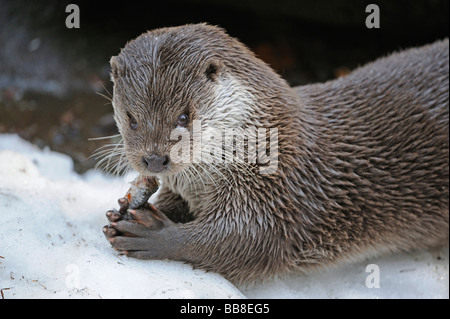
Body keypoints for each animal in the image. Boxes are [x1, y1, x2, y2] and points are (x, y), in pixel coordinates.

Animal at [100, 24, 448, 284]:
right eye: (131, 118)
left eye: (184, 117)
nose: (154, 160)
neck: (265, 144)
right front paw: (125, 208)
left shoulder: (280, 192)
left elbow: (245, 241)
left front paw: (154, 234)